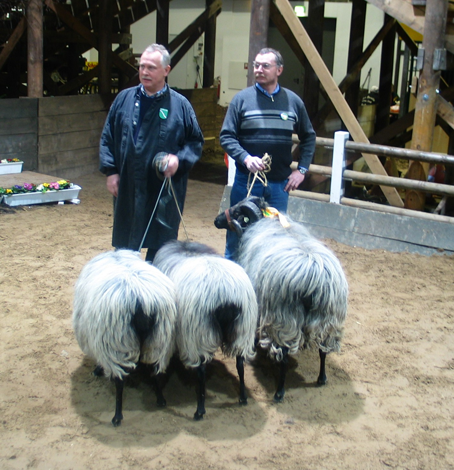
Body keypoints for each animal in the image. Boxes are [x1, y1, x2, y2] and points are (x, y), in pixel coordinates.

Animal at [72, 250, 176, 426]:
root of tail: (141, 303)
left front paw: (97, 370)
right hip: (159, 340)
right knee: (155, 369)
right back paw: (160, 399)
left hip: (116, 344)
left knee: (119, 380)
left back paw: (117, 416)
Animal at [153, 241, 258, 420]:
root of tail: (225, 298)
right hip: (242, 330)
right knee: (240, 364)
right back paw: (243, 398)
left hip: (199, 334)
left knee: (201, 371)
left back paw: (199, 411)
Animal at [215, 196, 350, 402]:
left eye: (237, 212)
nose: (217, 219)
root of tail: (314, 278)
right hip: (328, 319)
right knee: (323, 350)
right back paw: (322, 378)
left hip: (284, 319)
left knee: (284, 357)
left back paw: (279, 392)